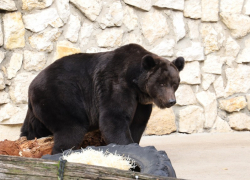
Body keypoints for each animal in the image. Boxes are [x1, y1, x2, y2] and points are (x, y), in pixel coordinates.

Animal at [20, 43, 185, 154]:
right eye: (161, 83)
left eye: (174, 83)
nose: (171, 101)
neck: (136, 84)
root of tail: (31, 85)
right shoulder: (116, 85)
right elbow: (114, 119)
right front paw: (127, 145)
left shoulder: (141, 102)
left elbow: (137, 123)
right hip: (61, 96)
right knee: (71, 128)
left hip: (40, 107)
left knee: (33, 129)